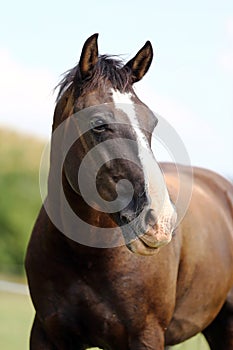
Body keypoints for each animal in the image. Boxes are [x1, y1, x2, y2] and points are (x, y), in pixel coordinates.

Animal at [25, 33, 233, 350]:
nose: (160, 221)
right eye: (98, 124)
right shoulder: (46, 335)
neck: (85, 254)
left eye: (152, 122)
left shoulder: (146, 336)